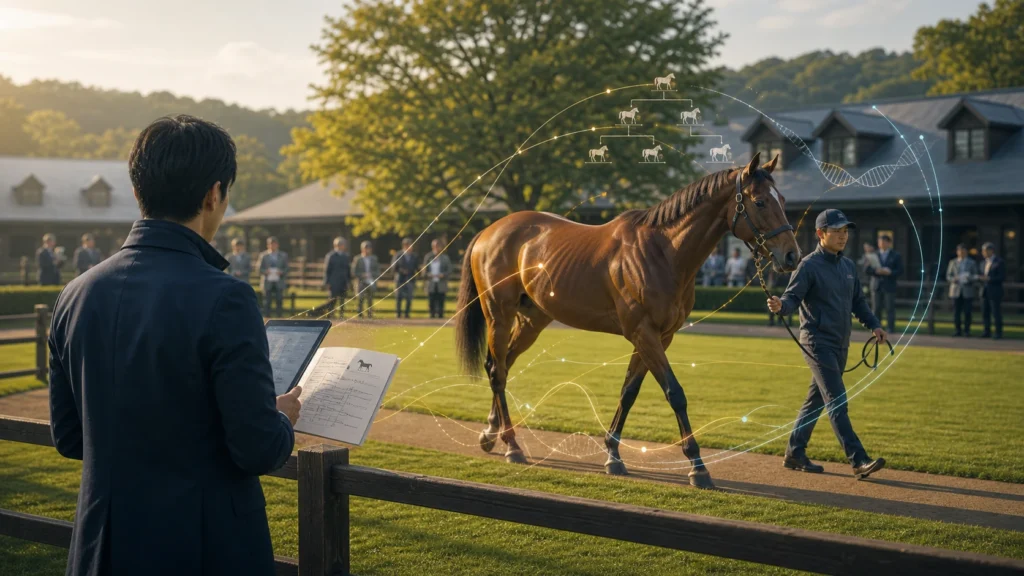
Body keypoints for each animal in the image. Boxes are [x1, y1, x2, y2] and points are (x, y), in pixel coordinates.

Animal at [455, 152, 798, 489]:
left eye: (783, 198)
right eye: (760, 202)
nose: (792, 255)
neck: (663, 253)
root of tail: (488, 231)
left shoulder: (659, 336)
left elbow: (629, 392)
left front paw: (613, 455)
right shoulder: (644, 332)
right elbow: (675, 393)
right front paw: (697, 466)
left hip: (531, 321)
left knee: (503, 365)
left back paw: (491, 433)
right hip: (499, 315)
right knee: (497, 372)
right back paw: (512, 445)